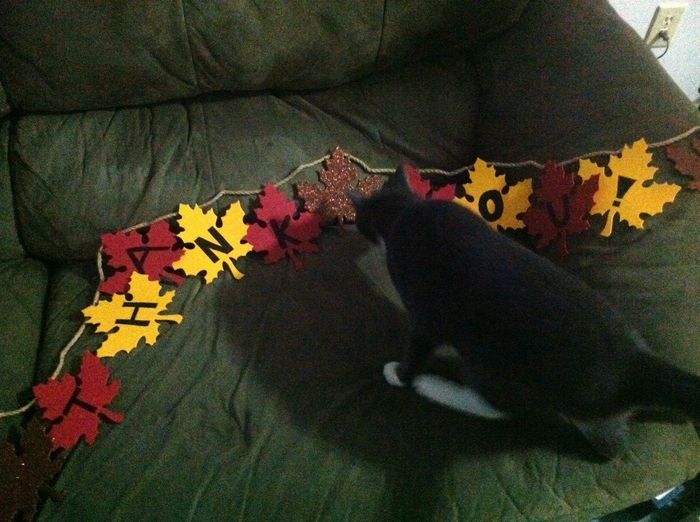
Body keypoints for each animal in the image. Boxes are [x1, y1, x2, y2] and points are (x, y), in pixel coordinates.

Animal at [349, 165, 700, 459]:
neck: (406, 211)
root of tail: (633, 363)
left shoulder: (426, 313)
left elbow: (417, 346)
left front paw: (399, 374)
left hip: (495, 364)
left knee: (502, 408)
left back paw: (435, 387)